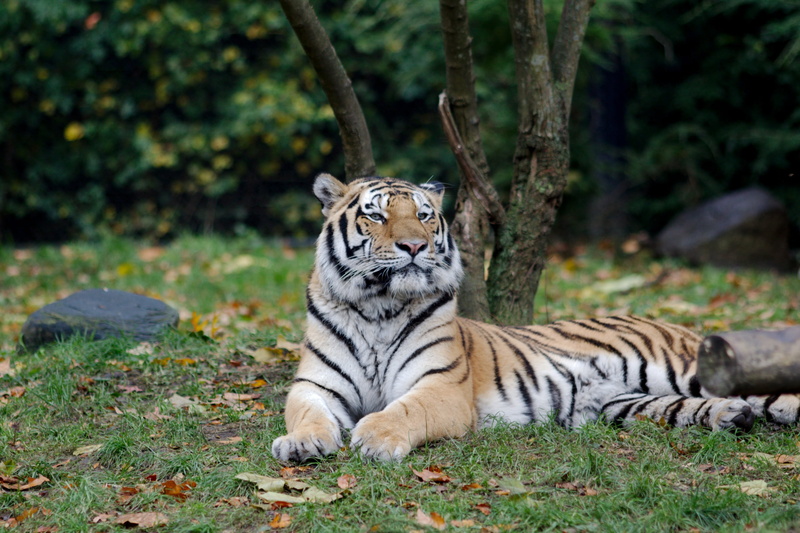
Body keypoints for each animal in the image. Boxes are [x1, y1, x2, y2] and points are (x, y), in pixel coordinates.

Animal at [271, 173, 800, 462]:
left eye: (423, 216)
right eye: (377, 217)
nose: (414, 247)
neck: (378, 306)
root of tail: (676, 324)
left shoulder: (441, 386)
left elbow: (404, 409)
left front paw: (375, 437)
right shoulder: (316, 385)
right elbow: (307, 414)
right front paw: (300, 444)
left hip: (684, 369)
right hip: (628, 402)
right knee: (690, 408)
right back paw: (732, 416)